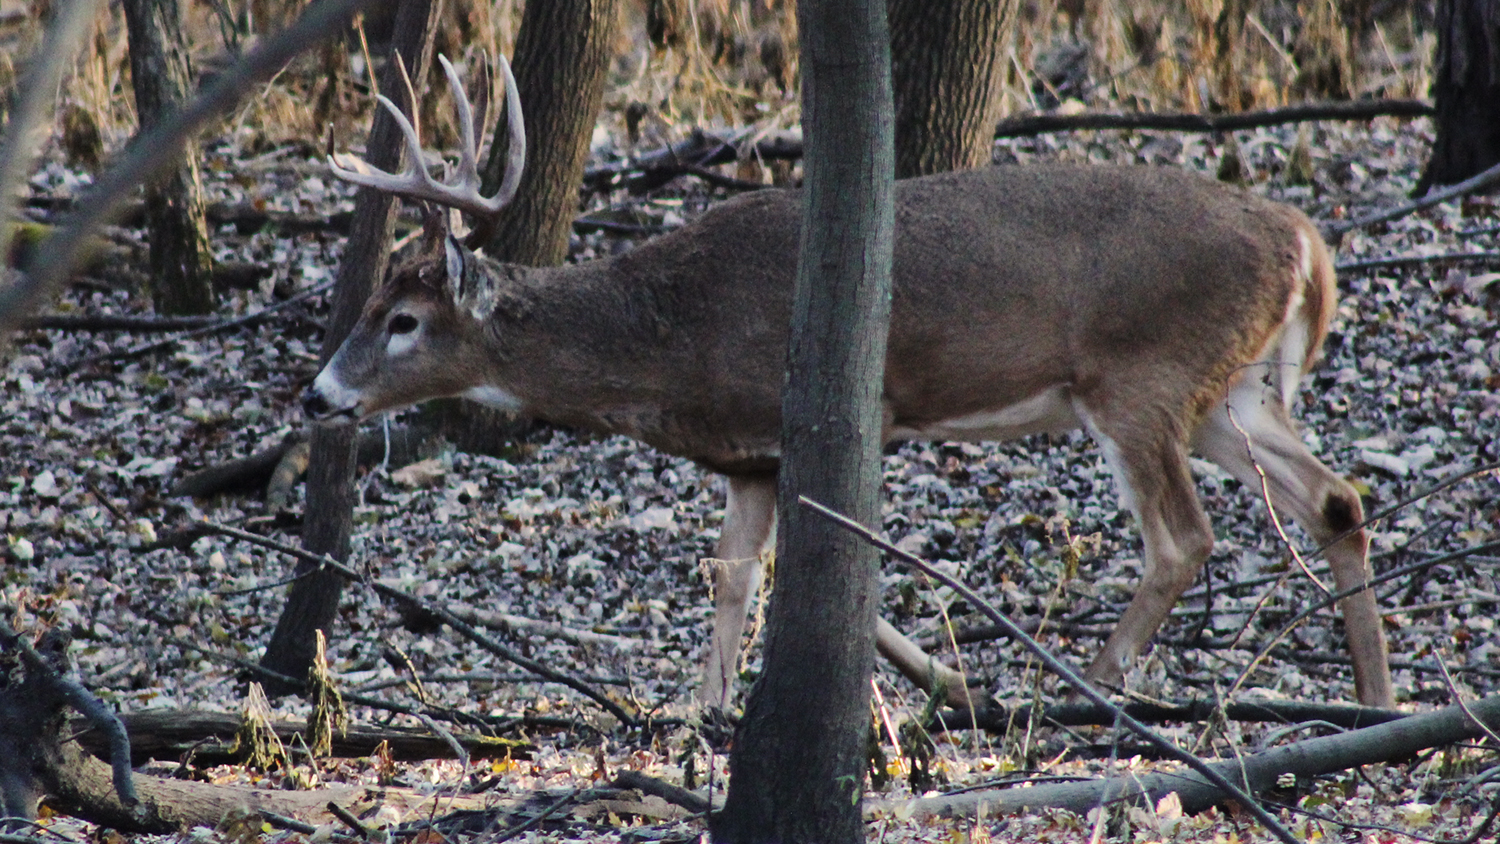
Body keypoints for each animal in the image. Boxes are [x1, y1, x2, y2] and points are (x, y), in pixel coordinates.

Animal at [301, 56, 1392, 710]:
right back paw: (1377, 702)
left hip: (1140, 374)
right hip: (1229, 388)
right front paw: (701, 712)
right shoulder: (746, 455)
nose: (317, 397)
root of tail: (1302, 237)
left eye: (402, 321)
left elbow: (823, 579)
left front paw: (951, 685)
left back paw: (1084, 687)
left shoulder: (815, 420)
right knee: (1335, 498)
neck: (668, 338)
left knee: (1184, 536)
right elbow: (739, 575)